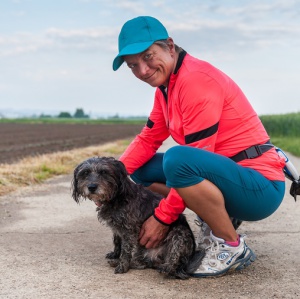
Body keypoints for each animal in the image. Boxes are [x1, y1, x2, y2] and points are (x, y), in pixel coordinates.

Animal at [72, 157, 204, 278]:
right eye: (85, 173)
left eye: (104, 172)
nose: (92, 187)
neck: (117, 197)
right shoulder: (117, 229)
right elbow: (117, 242)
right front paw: (116, 255)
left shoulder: (129, 231)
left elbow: (125, 250)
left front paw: (122, 265)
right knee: (143, 264)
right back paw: (123, 262)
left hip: (179, 235)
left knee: (173, 263)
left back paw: (166, 268)